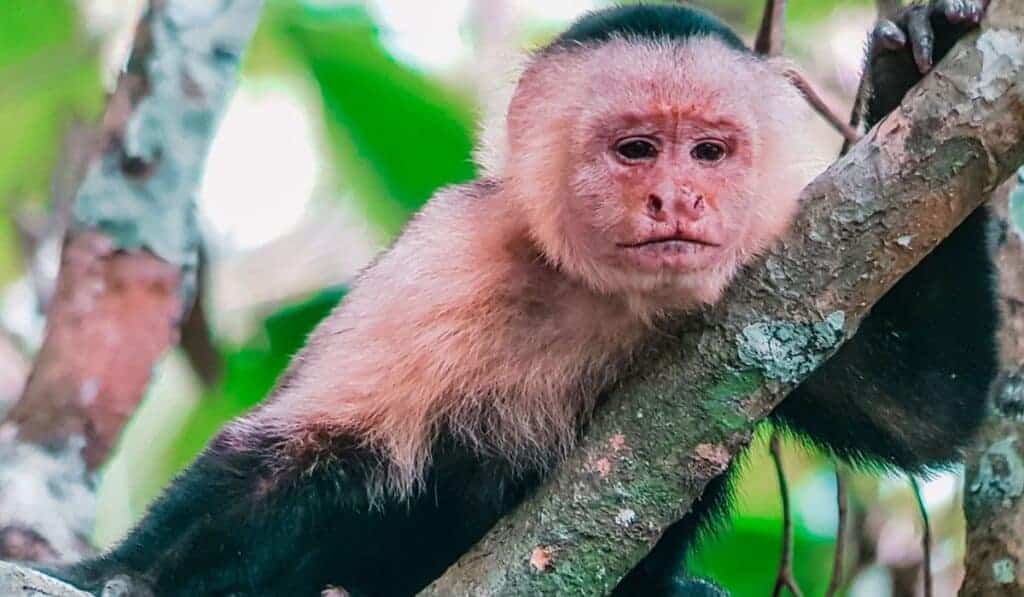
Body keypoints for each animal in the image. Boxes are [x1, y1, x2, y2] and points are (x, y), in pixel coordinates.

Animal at [54, 2, 991, 593]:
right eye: (636, 149)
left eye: (710, 151)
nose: (678, 201)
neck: (607, 297)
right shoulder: (450, 251)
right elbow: (300, 451)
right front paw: (116, 576)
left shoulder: (770, 270)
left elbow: (921, 408)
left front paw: (915, 65)